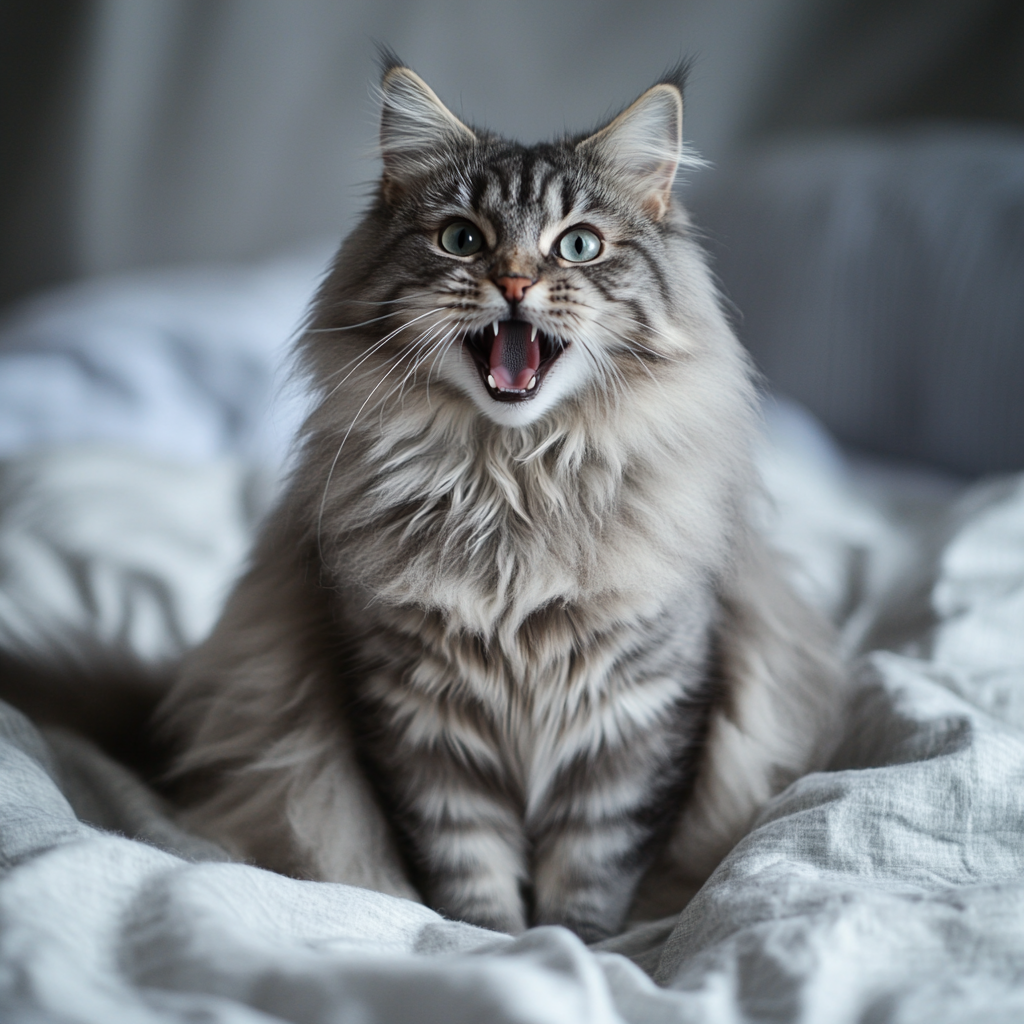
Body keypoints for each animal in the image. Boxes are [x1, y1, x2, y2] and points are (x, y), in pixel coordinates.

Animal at [159, 54, 843, 937]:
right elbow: (466, 861)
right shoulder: (418, 716)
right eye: (462, 239)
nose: (515, 282)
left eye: (578, 245)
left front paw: (576, 944)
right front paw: (491, 943)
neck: (513, 485)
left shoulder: (638, 714)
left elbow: (592, 865)